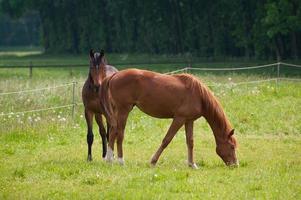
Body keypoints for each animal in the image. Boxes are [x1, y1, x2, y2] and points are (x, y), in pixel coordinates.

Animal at [102, 69, 238, 169]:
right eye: (232, 146)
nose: (235, 165)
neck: (198, 95)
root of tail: (115, 75)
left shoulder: (189, 120)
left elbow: (190, 142)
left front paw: (192, 164)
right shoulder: (179, 119)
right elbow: (167, 140)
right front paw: (153, 161)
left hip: (117, 112)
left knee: (113, 132)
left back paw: (109, 160)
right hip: (123, 111)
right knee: (119, 134)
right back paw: (121, 161)